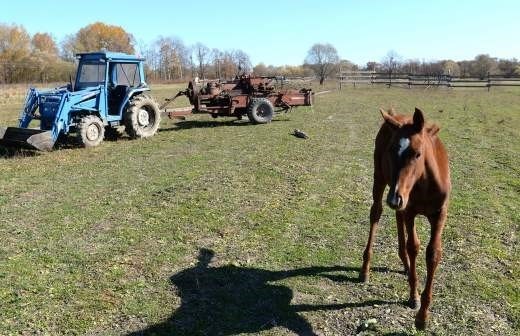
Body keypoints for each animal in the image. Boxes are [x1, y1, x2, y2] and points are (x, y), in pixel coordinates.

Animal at [362, 108, 450, 330]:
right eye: (391, 150)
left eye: (417, 154)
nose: (394, 198)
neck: (426, 181)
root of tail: (395, 115)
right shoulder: (410, 209)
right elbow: (414, 246)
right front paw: (414, 297)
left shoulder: (439, 214)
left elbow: (433, 253)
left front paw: (423, 316)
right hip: (381, 179)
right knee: (376, 212)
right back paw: (366, 269)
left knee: (397, 216)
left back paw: (406, 265)